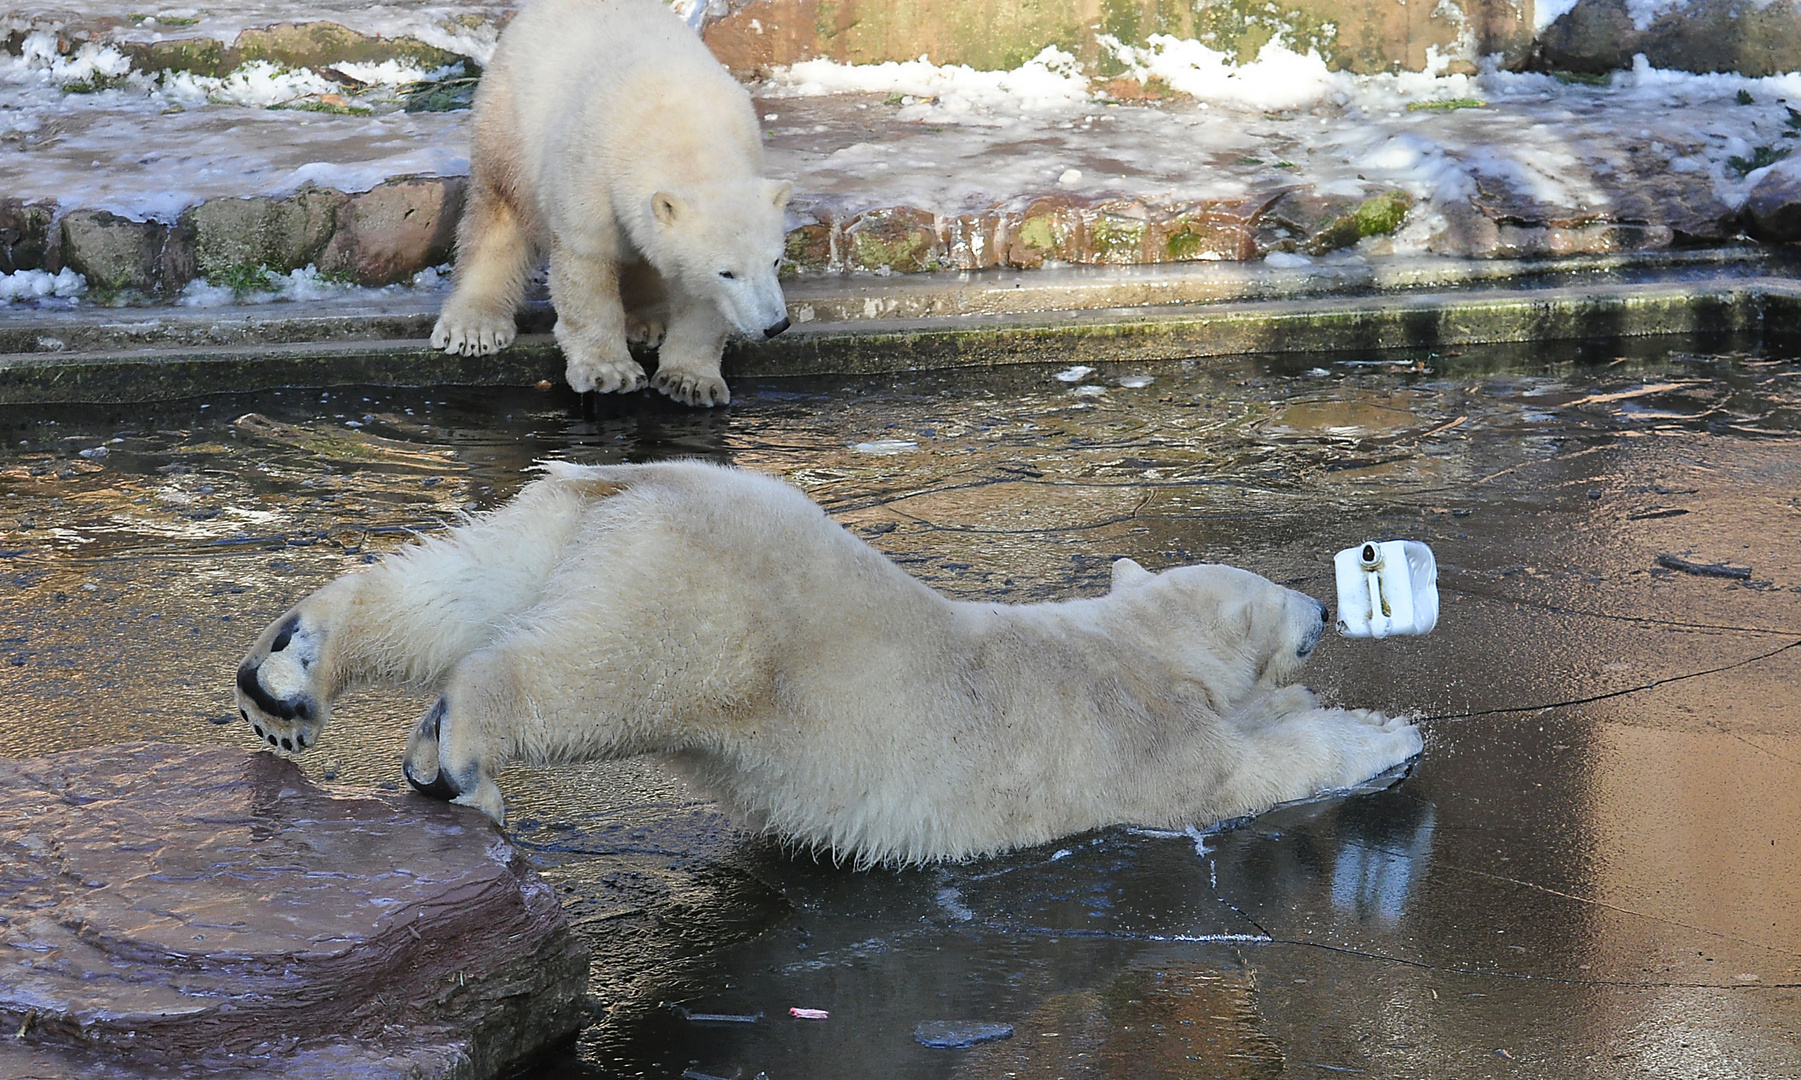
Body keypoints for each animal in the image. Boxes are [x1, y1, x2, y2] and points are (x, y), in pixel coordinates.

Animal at [235, 459, 1419, 864]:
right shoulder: (1137, 741)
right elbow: (1240, 774)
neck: (1123, 643)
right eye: (1283, 600)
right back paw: (461, 759)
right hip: (707, 612)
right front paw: (1387, 731)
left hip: (567, 530)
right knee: (584, 675)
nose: (1326, 601)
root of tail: (641, 480)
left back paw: (286, 675)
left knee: (456, 584)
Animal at [428, 0, 796, 406]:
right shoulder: (590, 171)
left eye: (775, 261)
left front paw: (690, 381)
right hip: (508, 125)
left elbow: (697, 294)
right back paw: (473, 327)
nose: (776, 325)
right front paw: (610, 372)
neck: (679, 131)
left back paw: (648, 321)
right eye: (727, 272)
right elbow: (587, 265)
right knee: (498, 215)